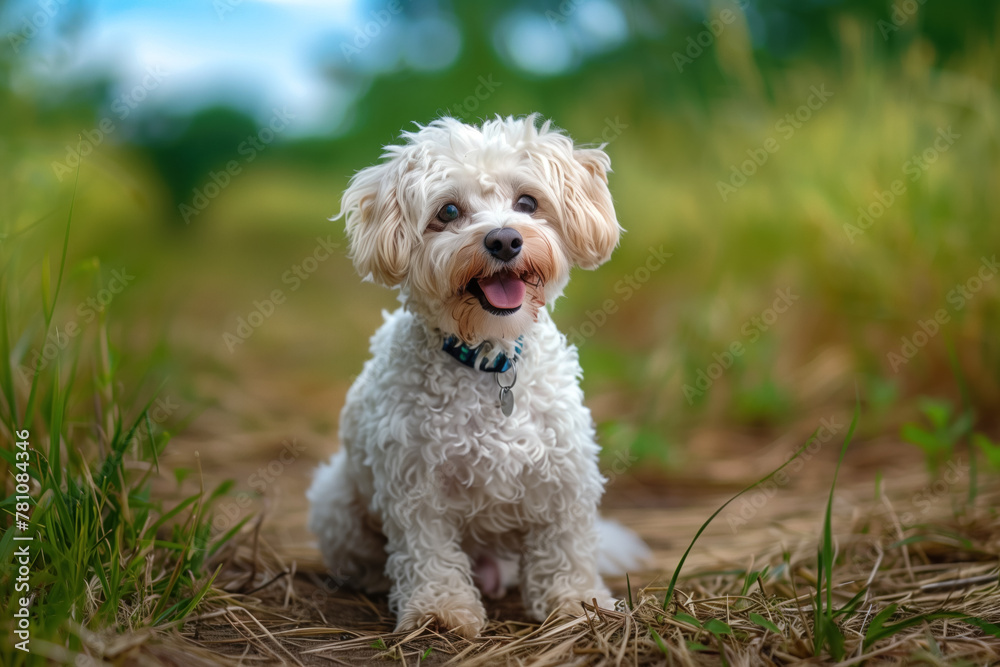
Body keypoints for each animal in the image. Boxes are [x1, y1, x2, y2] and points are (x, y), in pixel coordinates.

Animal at [308, 115, 652, 636]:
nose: (504, 239)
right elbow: (427, 553)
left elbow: (566, 548)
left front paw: (577, 604)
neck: (491, 360)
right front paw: (438, 612)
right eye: (448, 211)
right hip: (335, 501)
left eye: (527, 203)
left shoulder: (564, 477)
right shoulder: (415, 487)